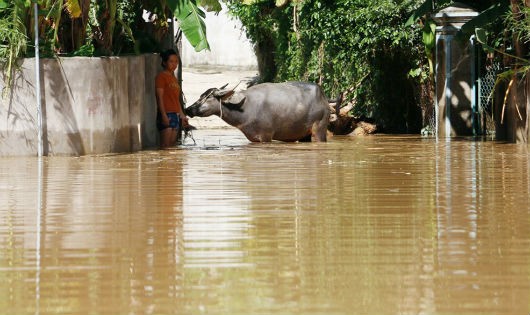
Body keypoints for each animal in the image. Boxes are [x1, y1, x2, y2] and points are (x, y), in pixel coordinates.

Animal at [184, 81, 328, 142]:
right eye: (201, 96)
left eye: (208, 97)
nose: (188, 109)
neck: (246, 109)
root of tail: (323, 98)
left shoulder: (266, 136)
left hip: (319, 129)